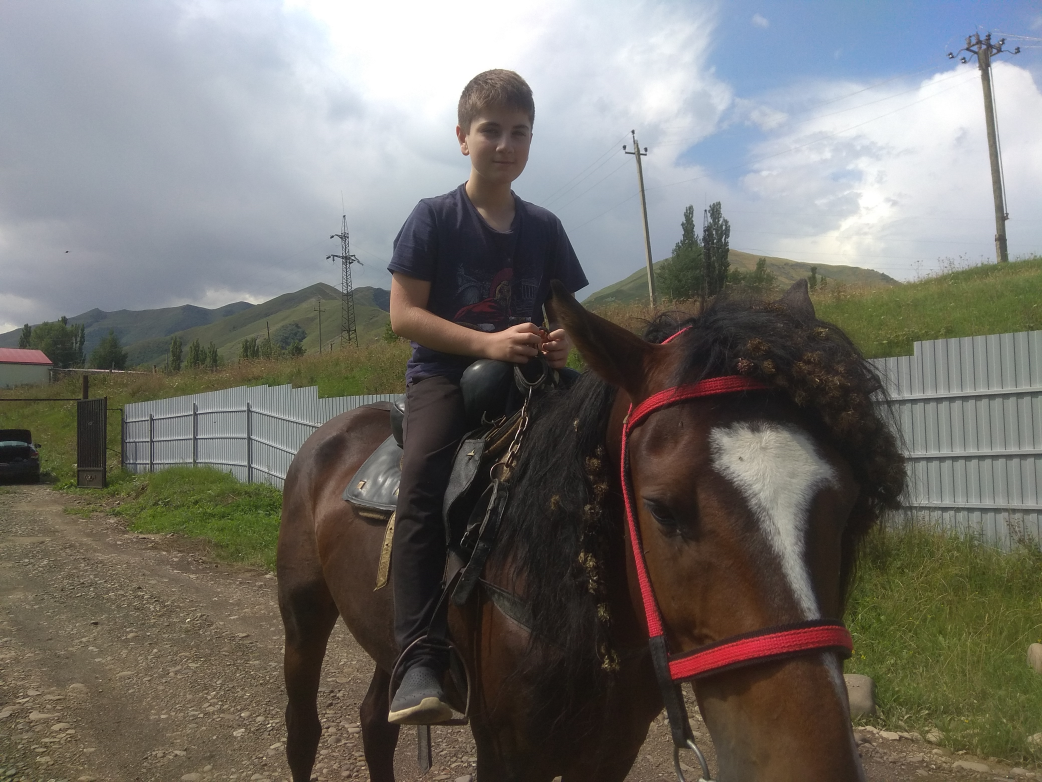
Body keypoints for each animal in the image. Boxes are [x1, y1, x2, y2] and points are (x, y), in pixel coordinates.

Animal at [276, 280, 905, 782]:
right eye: (661, 509)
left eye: (849, 504)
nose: (810, 764)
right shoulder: (505, 755)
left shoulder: (609, 752)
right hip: (303, 615)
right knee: (304, 730)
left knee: (374, 722)